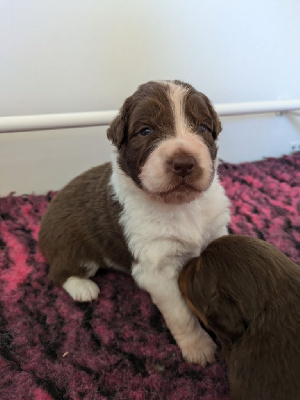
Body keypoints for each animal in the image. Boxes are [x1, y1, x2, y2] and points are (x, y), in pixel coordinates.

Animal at [37, 80, 230, 366]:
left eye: (203, 127)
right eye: (145, 131)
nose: (184, 163)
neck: (179, 205)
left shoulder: (216, 228)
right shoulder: (157, 268)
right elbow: (181, 315)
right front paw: (199, 348)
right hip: (72, 247)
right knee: (59, 272)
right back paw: (83, 288)